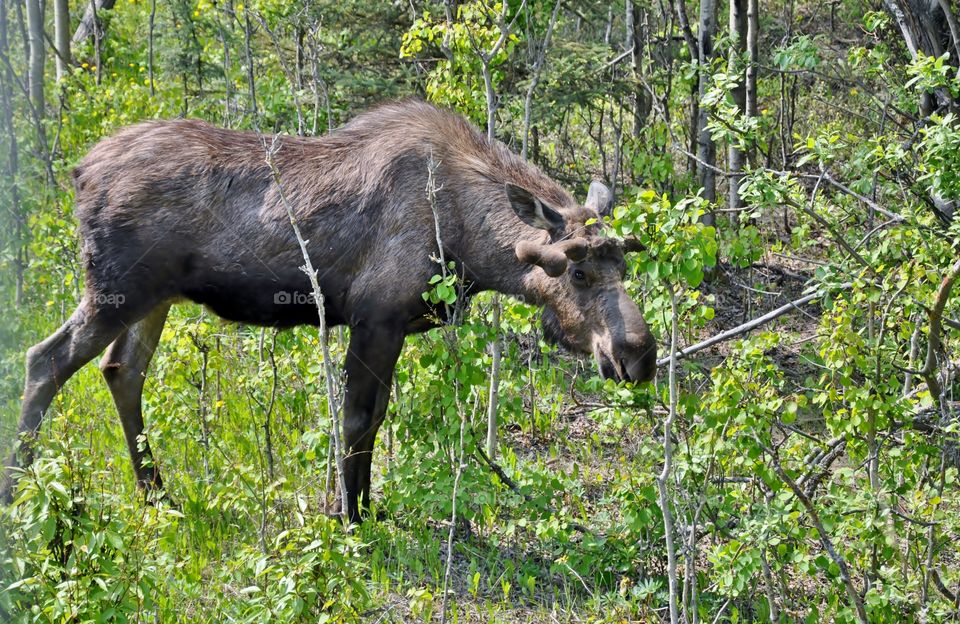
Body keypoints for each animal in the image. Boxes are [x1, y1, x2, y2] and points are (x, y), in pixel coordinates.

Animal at [3, 99, 657, 522]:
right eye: (578, 271)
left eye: (624, 268)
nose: (639, 355)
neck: (466, 239)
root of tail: (78, 173)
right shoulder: (376, 318)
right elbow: (358, 420)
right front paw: (347, 516)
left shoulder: (389, 327)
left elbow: (373, 421)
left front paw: (364, 507)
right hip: (115, 290)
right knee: (44, 360)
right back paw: (20, 491)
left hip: (154, 298)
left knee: (121, 371)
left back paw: (156, 495)